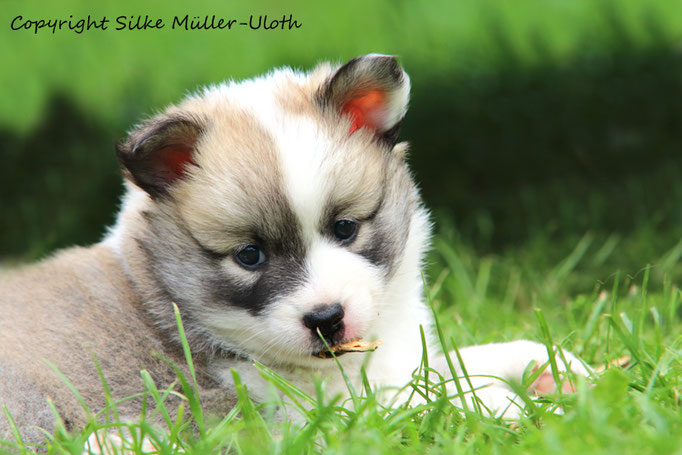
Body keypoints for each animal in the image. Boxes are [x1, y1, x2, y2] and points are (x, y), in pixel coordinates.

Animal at [0, 54, 584, 448]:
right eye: (249, 256)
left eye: (345, 228)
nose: (326, 320)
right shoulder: (310, 416)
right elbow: (425, 399)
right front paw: (511, 407)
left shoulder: (394, 360)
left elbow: (455, 363)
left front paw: (556, 370)